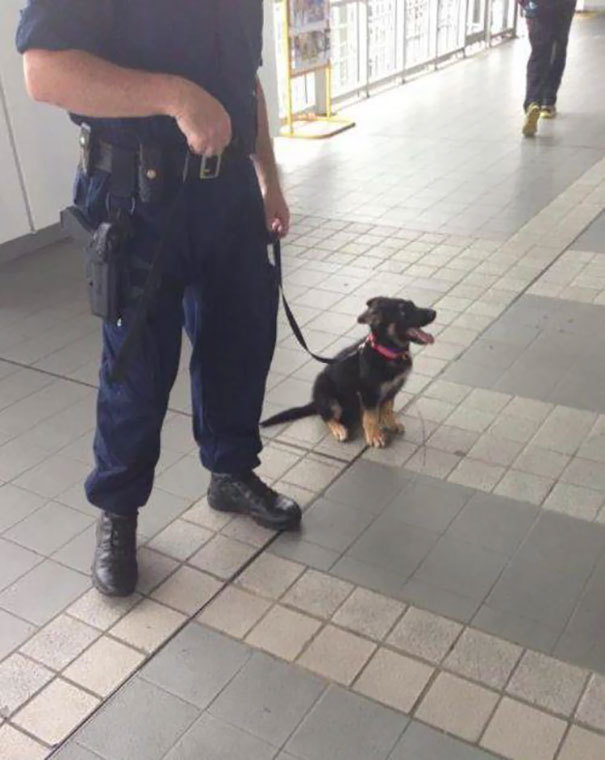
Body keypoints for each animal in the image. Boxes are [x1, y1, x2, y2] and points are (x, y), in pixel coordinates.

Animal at [262, 296, 436, 448]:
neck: (387, 353)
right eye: (403, 311)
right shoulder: (368, 393)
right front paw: (374, 436)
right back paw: (339, 429)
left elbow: (387, 408)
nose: (434, 313)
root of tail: (315, 401)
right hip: (329, 398)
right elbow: (370, 417)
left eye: (413, 305)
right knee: (326, 417)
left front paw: (391, 423)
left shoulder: (392, 389)